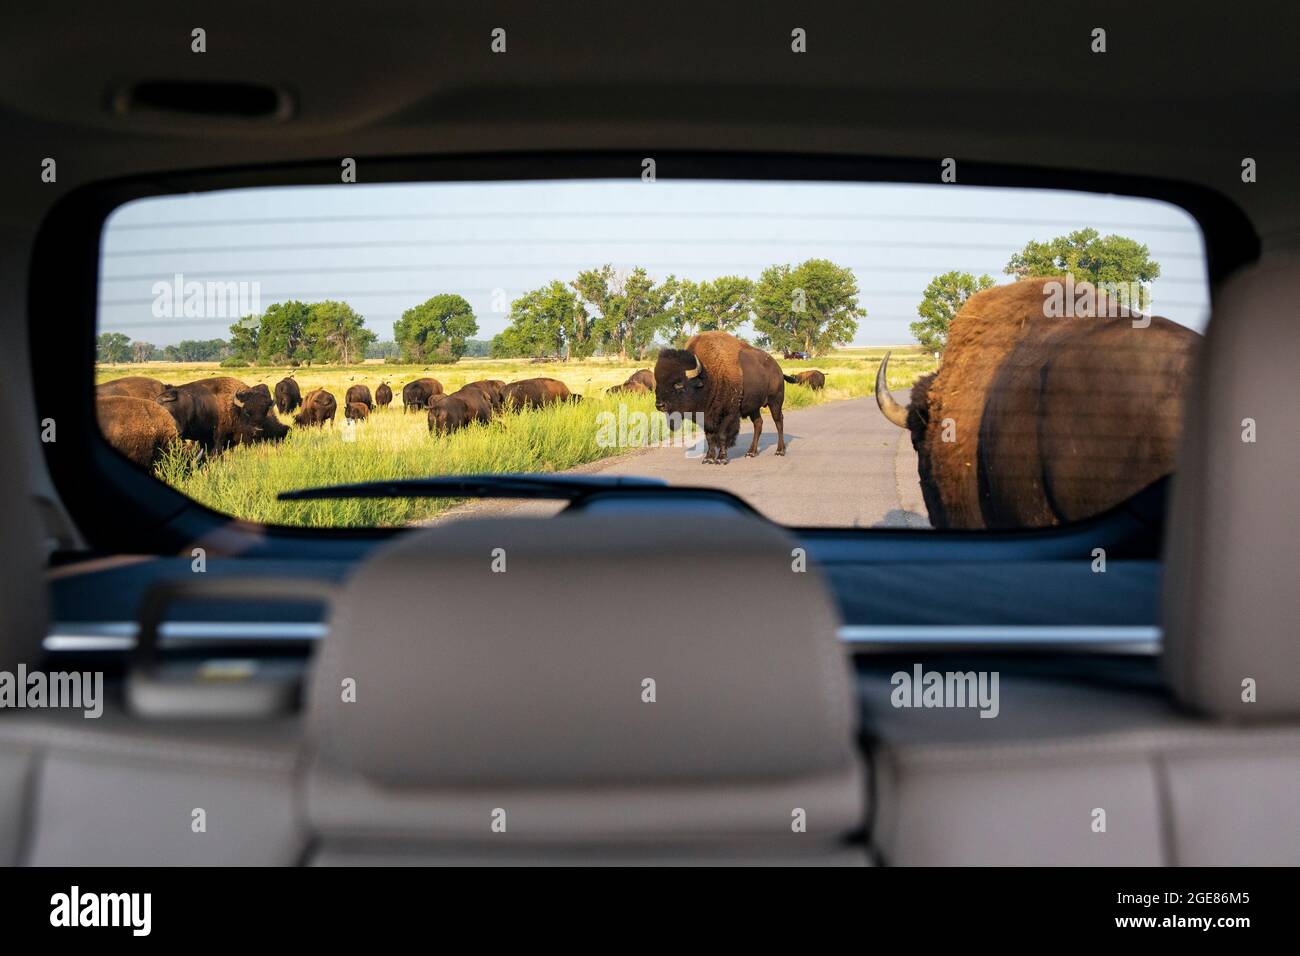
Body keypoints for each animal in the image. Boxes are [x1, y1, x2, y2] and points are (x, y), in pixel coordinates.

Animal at [155, 377, 289, 455]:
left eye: (265, 412)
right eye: (247, 412)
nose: (257, 431)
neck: (233, 406)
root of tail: (158, 401)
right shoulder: (218, 438)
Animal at [655, 329, 785, 463]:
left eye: (679, 384)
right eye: (658, 383)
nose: (660, 405)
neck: (708, 376)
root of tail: (777, 368)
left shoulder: (729, 414)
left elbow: (722, 435)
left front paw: (722, 458)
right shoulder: (706, 418)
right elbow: (709, 437)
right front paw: (708, 458)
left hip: (775, 402)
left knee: (778, 421)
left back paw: (780, 451)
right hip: (754, 408)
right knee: (758, 424)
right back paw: (751, 452)